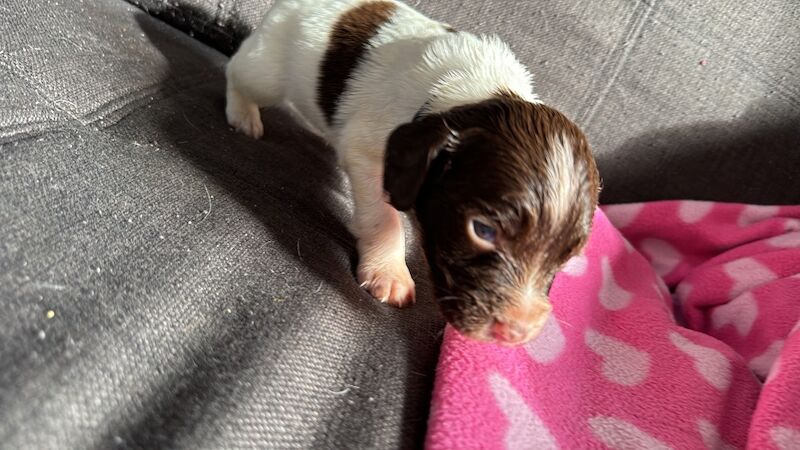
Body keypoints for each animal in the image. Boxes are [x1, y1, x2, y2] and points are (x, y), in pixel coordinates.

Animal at [227, 0, 600, 344]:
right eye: (483, 230)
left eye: (567, 259)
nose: (517, 332)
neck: (474, 95)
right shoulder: (367, 155)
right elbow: (385, 219)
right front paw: (389, 272)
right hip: (267, 69)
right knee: (238, 69)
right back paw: (243, 112)